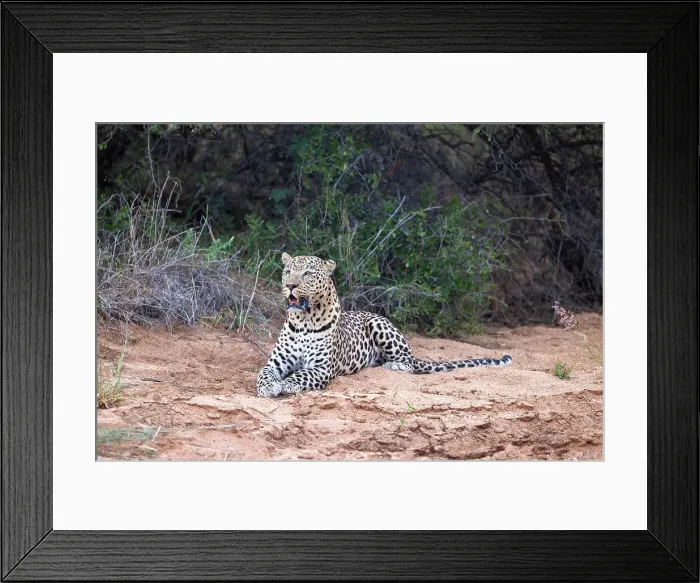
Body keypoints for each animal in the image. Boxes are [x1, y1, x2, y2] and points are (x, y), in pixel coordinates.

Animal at [256, 252, 512, 397]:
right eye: (287, 271)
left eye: (308, 273)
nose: (289, 285)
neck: (305, 320)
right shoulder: (275, 363)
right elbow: (264, 374)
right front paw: (268, 387)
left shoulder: (321, 368)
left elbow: (301, 375)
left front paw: (287, 385)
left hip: (379, 324)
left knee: (409, 362)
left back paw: (394, 365)